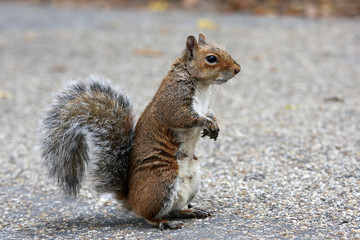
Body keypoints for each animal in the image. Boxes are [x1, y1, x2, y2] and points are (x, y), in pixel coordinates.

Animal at [40, 32, 239, 230]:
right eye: (211, 58)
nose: (237, 69)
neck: (202, 86)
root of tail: (131, 199)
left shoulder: (205, 106)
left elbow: (210, 113)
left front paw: (214, 125)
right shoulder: (174, 101)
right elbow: (185, 118)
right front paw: (208, 124)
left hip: (192, 181)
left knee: (172, 210)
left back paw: (189, 212)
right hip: (162, 182)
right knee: (149, 215)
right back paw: (163, 223)